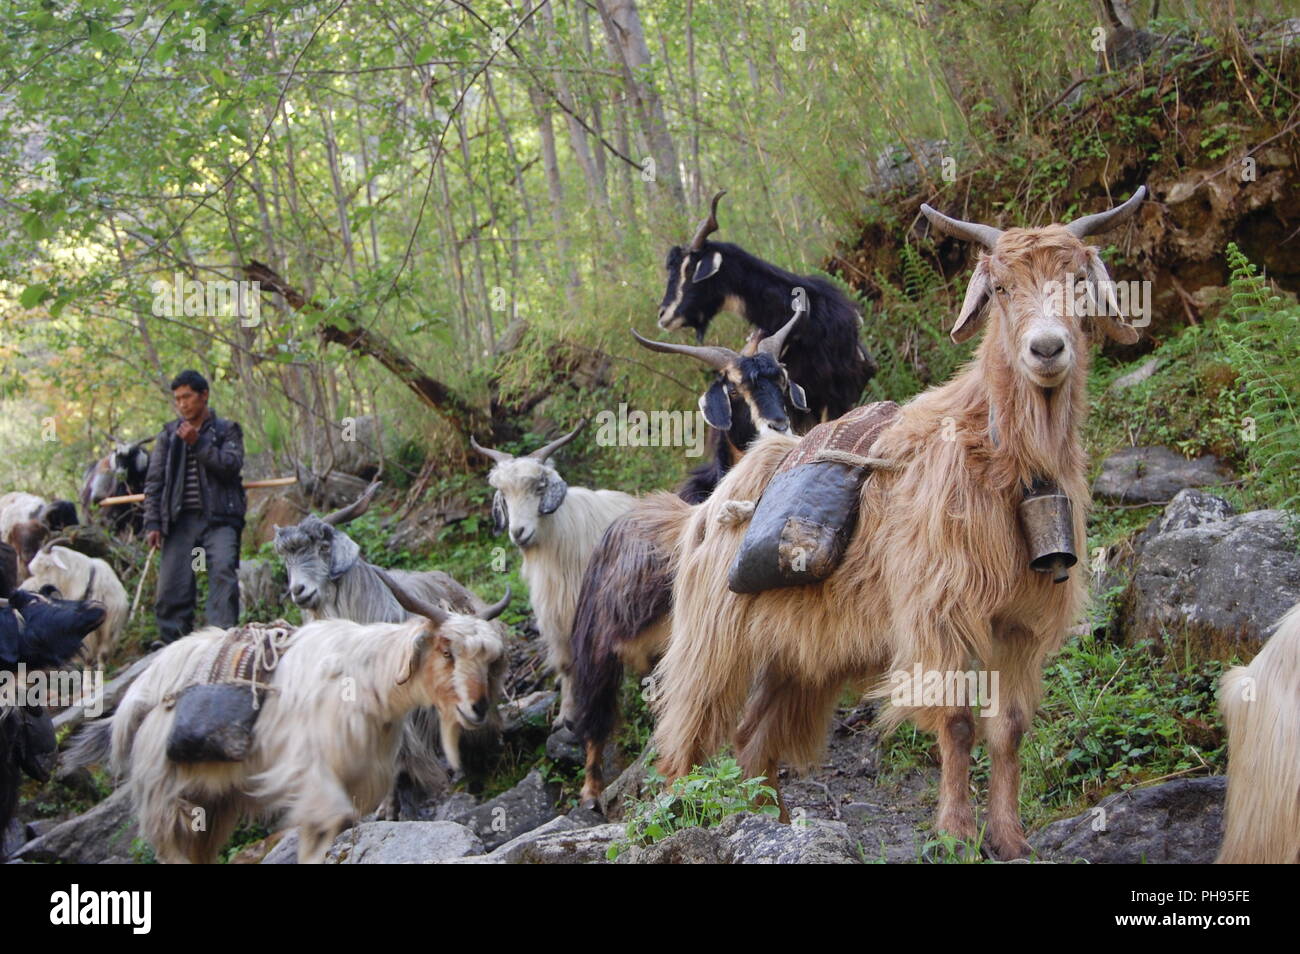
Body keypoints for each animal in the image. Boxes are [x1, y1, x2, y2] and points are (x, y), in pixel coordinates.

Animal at [64, 574, 506, 868]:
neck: (365, 676)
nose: (478, 709)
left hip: (212, 801)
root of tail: (136, 697)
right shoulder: (311, 779)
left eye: (490, 659)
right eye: (447, 651)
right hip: (167, 799)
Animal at [475, 421, 642, 727]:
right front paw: (566, 715)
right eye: (504, 494)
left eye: (539, 486)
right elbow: (566, 666)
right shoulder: (554, 615)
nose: (518, 532)